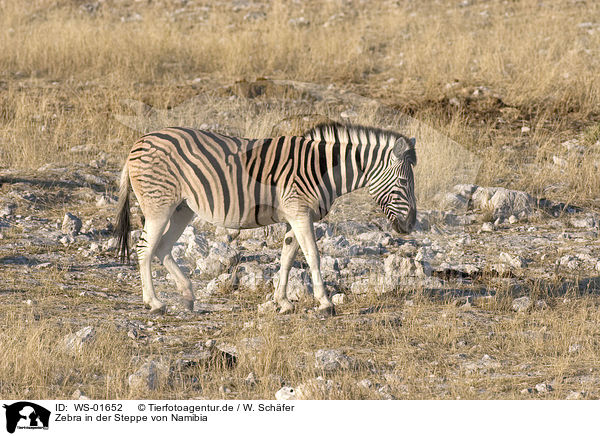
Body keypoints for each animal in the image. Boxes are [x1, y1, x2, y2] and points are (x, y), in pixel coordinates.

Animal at [116, 122, 418, 316]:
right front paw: (325, 303)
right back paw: (154, 303)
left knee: (162, 248)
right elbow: (313, 256)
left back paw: (188, 296)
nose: (411, 226)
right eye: (404, 183)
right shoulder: (299, 212)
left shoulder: (294, 216)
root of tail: (137, 143)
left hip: (183, 207)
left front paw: (282, 302)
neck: (323, 169)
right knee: (145, 250)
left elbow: (287, 257)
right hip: (159, 205)